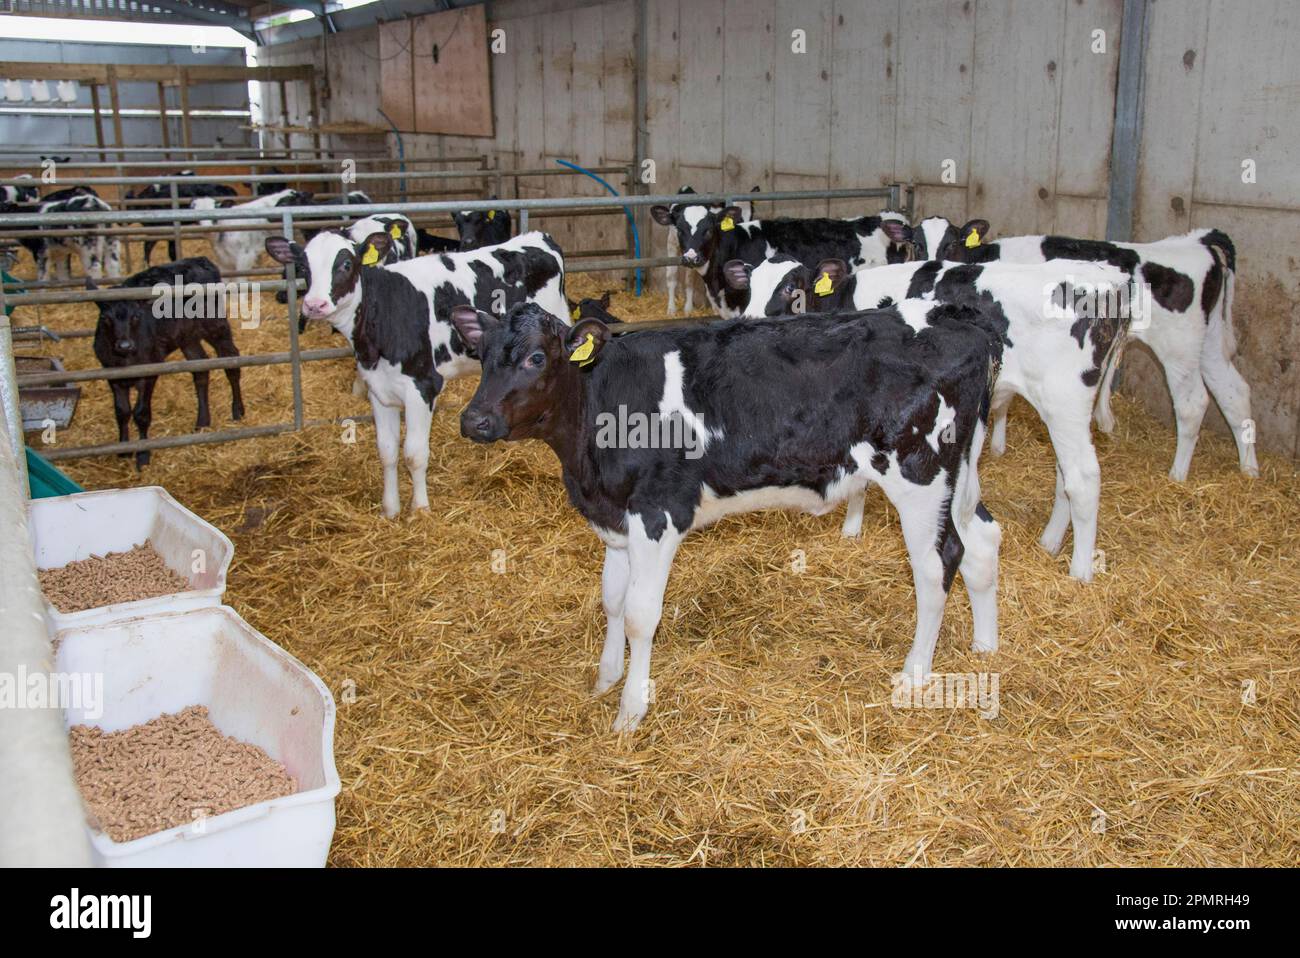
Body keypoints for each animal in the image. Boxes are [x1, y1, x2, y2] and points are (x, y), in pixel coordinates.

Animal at [90, 256, 244, 469]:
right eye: (105, 318)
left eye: (136, 316)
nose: (124, 345)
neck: (126, 358)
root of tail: (201, 260)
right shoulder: (111, 375)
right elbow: (121, 412)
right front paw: (124, 450)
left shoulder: (149, 370)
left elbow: (141, 413)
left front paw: (143, 455)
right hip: (187, 336)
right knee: (200, 368)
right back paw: (202, 421)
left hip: (215, 325)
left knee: (231, 359)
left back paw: (237, 410)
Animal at [263, 229, 568, 518]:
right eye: (302, 266)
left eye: (346, 264)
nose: (315, 304)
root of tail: (537, 237)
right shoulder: (378, 388)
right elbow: (387, 451)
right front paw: (390, 509)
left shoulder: (422, 386)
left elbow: (414, 454)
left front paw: (420, 509)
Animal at [450, 299, 1004, 731]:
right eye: (481, 355)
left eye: (535, 357)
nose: (474, 420)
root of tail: (957, 317)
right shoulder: (617, 519)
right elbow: (611, 601)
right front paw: (606, 679)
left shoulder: (659, 513)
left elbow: (640, 615)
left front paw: (630, 711)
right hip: (960, 475)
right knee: (981, 540)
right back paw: (985, 647)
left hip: (920, 474)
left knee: (937, 565)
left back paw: (914, 675)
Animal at [730, 254, 1133, 582]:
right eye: (749, 286)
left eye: (791, 288)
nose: (749, 324)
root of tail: (1105, 277)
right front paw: (853, 527)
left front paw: (850, 528)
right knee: (1065, 475)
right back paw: (1050, 542)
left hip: (1064, 400)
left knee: (1083, 479)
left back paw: (1080, 572)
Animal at [886, 216, 1254, 481]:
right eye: (915, 244)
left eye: (953, 243)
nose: (928, 267)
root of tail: (1195, 242)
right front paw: (999, 447)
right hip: (1207, 342)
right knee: (1234, 392)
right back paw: (1249, 470)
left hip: (1178, 346)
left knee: (1193, 403)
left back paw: (1177, 475)